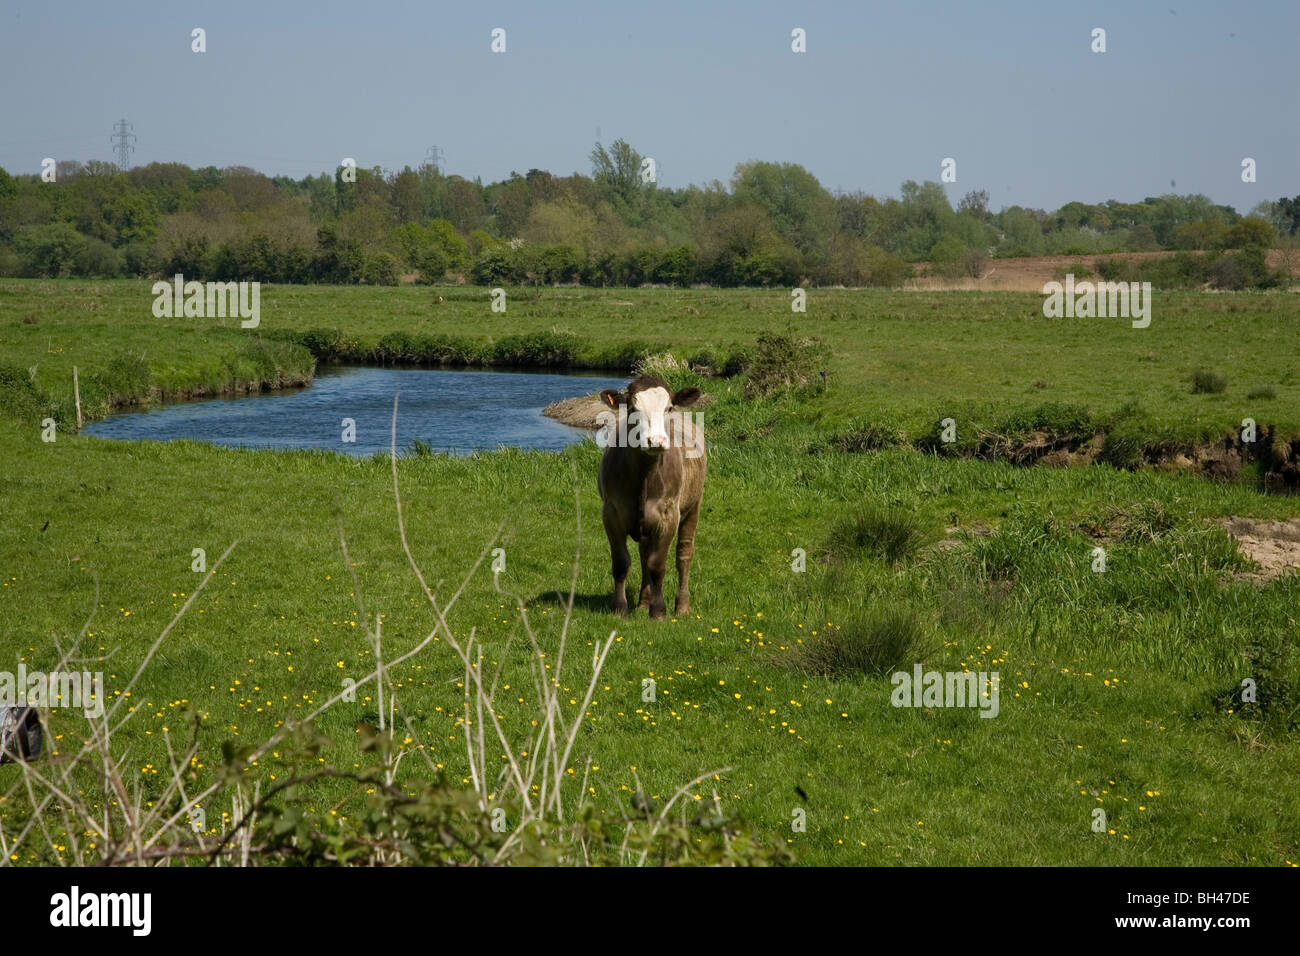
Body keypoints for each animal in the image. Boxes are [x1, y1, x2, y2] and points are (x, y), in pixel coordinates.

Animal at [595, 377, 707, 624]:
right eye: (633, 408)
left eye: (668, 408)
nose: (656, 441)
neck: (644, 477)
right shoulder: (611, 513)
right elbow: (621, 563)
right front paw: (619, 608)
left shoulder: (668, 515)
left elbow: (658, 565)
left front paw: (659, 611)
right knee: (644, 553)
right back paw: (642, 603)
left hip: (694, 505)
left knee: (684, 554)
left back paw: (681, 606)